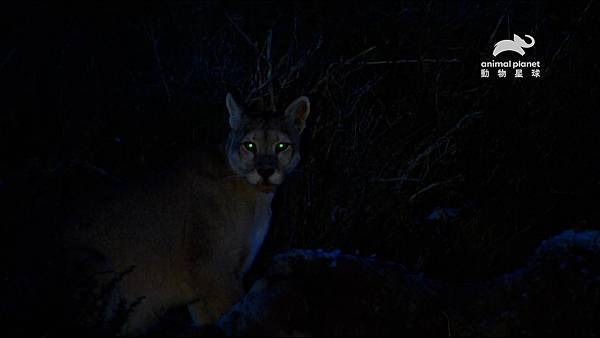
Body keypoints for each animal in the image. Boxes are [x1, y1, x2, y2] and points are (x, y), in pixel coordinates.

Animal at [63, 93, 312, 334]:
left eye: (282, 146)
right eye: (250, 146)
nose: (266, 171)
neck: (257, 195)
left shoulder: (202, 290)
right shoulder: (215, 269)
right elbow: (232, 314)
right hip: (96, 266)